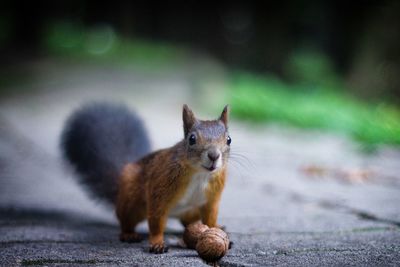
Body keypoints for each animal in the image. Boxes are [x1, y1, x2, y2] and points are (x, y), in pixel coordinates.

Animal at [61, 102, 231, 253]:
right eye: (192, 139)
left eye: (229, 139)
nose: (214, 156)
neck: (200, 174)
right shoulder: (160, 186)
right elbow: (156, 219)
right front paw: (157, 243)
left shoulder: (212, 197)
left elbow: (210, 217)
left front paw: (215, 230)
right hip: (131, 202)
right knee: (125, 220)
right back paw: (128, 234)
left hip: (192, 212)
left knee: (188, 221)